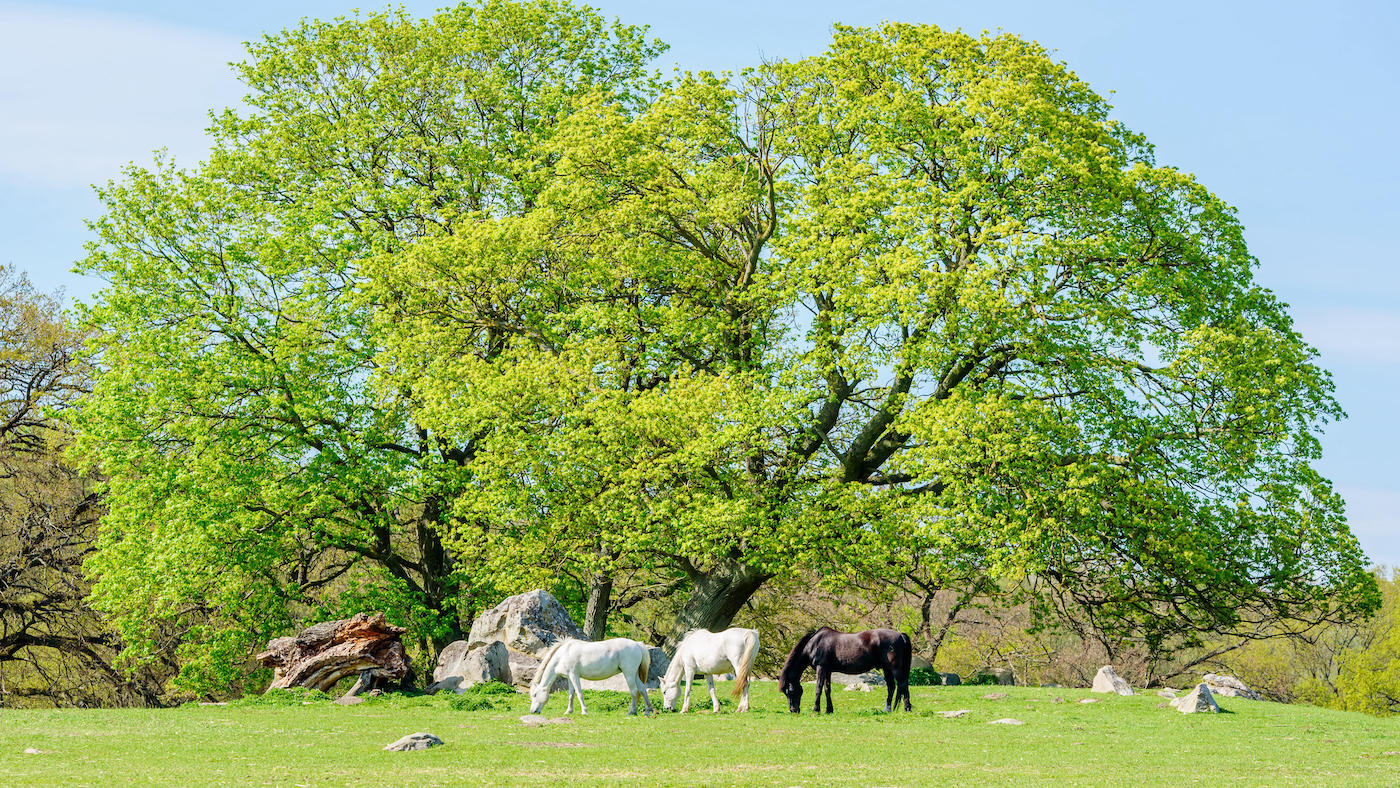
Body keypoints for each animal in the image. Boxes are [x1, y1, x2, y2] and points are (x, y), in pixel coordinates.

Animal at [778, 627, 912, 714]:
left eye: (790, 691)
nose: (793, 710)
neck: (815, 643)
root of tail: (901, 635)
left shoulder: (821, 668)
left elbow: (818, 688)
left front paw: (816, 709)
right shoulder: (828, 670)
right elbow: (827, 689)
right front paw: (829, 710)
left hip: (895, 668)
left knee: (903, 685)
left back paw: (907, 709)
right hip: (886, 669)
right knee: (891, 687)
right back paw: (887, 709)